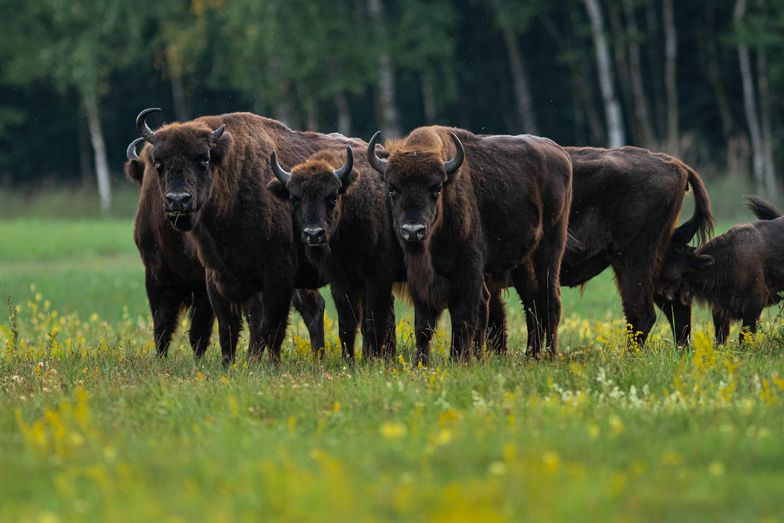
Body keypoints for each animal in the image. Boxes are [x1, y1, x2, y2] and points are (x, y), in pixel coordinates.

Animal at [132, 109, 368, 364]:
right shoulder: (211, 279)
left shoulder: (276, 277)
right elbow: (224, 328)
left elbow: (270, 327)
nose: (178, 200)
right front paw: (229, 364)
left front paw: (267, 364)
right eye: (158, 163)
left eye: (203, 160)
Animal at [270, 146, 404, 360]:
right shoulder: (341, 282)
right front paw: (349, 360)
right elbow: (347, 325)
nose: (313, 234)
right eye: (294, 198)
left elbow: (372, 323)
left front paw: (371, 360)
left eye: (332, 196)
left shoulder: (377, 279)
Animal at [368, 127, 568, 364]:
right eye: (392, 188)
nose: (413, 231)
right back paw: (532, 355)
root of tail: (560, 153)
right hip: (524, 262)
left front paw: (460, 360)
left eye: (435, 189)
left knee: (551, 300)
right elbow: (424, 325)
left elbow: (463, 318)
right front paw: (421, 364)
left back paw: (550, 355)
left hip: (550, 250)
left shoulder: (469, 271)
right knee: (532, 303)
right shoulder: (419, 278)